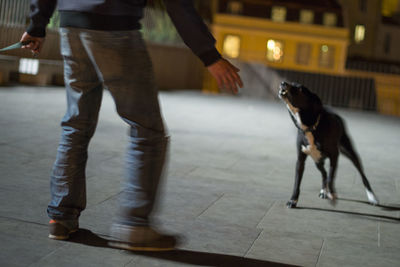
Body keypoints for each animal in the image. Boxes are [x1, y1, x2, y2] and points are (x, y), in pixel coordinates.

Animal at [278, 81, 378, 209]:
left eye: (300, 88)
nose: (283, 83)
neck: (311, 127)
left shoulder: (334, 156)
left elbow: (331, 176)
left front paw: (332, 194)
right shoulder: (300, 160)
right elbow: (297, 182)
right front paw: (293, 200)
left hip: (350, 153)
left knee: (362, 175)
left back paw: (372, 197)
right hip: (317, 161)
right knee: (324, 173)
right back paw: (323, 191)